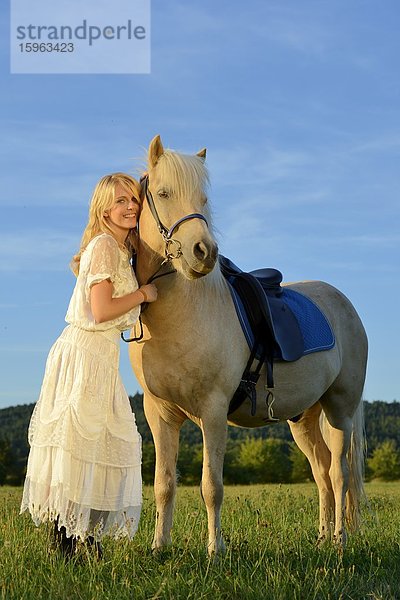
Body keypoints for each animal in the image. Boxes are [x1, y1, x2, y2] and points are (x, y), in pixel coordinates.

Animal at [129, 135, 368, 552]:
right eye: (163, 192)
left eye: (204, 198)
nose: (203, 253)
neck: (184, 312)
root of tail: (345, 304)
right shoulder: (160, 414)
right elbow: (163, 485)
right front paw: (159, 547)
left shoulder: (212, 411)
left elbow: (211, 486)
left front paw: (216, 550)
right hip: (304, 419)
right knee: (322, 472)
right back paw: (322, 538)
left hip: (341, 409)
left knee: (340, 474)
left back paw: (339, 540)